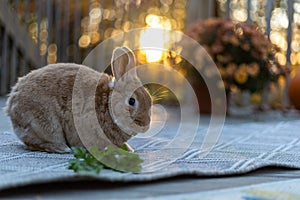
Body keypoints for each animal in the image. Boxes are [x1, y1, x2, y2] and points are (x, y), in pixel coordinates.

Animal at [6, 47, 152, 153]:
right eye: (131, 101)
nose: (145, 125)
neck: (108, 104)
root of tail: (11, 104)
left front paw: (128, 149)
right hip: (45, 125)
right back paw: (62, 148)